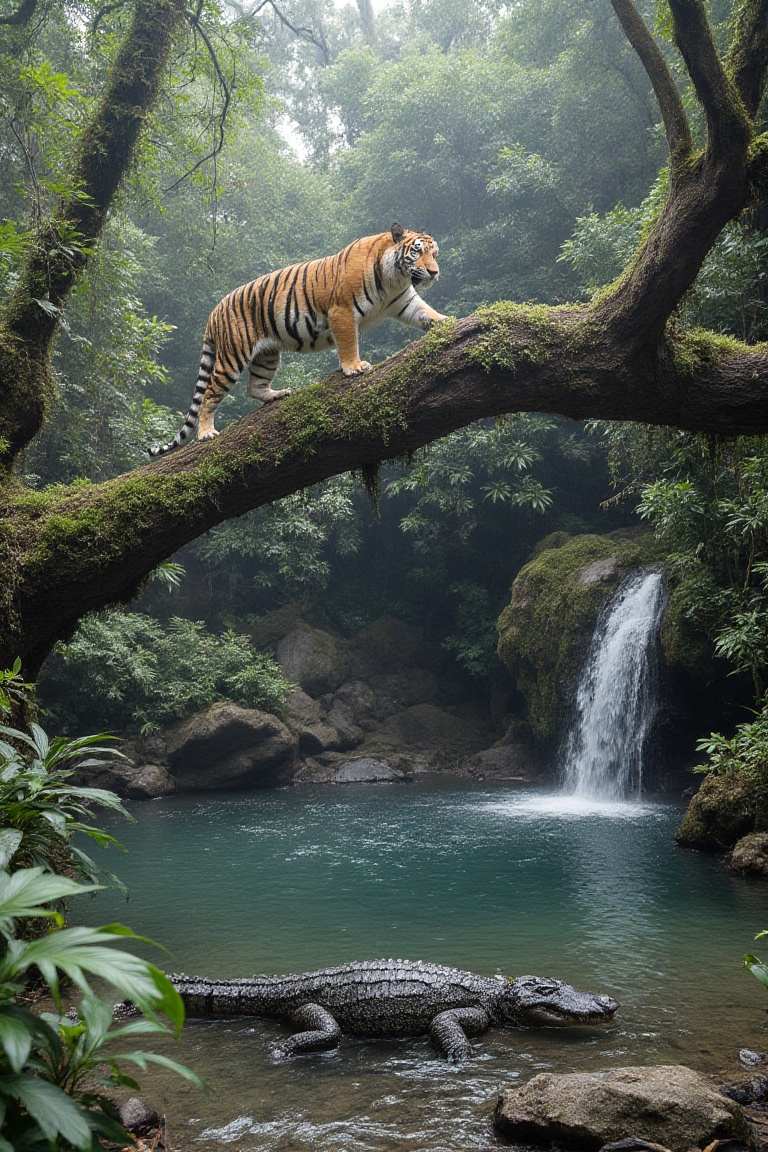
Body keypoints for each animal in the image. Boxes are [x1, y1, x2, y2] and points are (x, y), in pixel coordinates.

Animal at [148, 223, 448, 456]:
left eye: (434, 254)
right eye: (417, 251)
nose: (434, 272)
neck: (394, 279)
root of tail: (212, 314)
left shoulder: (405, 301)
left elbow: (427, 313)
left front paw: (448, 322)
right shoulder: (341, 311)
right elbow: (348, 343)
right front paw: (354, 367)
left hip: (267, 355)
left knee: (255, 387)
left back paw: (279, 394)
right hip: (232, 357)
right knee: (209, 394)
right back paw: (207, 433)